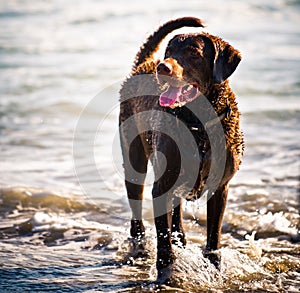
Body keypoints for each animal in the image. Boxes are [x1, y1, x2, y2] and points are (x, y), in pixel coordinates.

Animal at [118, 16, 243, 278]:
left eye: (193, 54)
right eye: (169, 51)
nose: (162, 67)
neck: (198, 125)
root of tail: (144, 64)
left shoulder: (221, 188)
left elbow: (214, 237)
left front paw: (215, 268)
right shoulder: (160, 186)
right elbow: (162, 237)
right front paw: (166, 271)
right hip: (135, 161)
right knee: (137, 213)